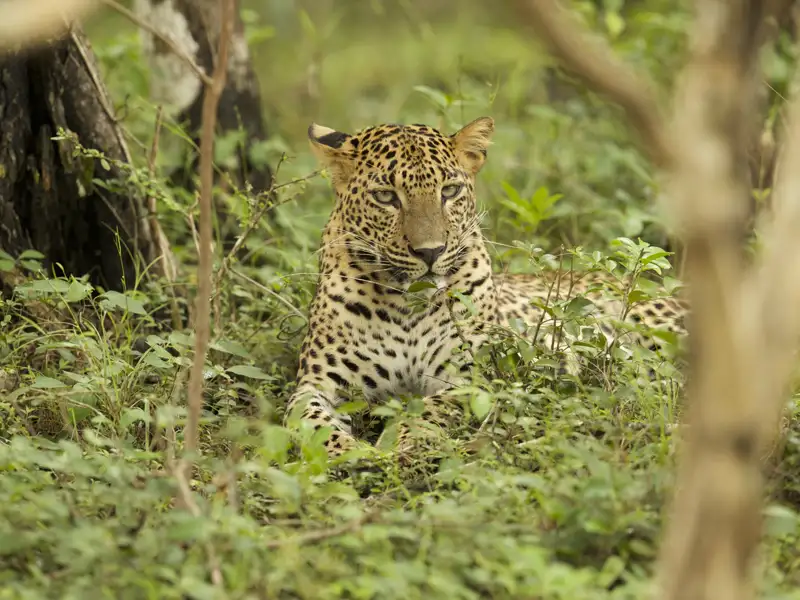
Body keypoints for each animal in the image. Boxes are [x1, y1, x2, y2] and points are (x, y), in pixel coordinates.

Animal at [282, 116, 688, 460]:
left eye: (449, 191)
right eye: (385, 197)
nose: (431, 252)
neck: (407, 305)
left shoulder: (474, 374)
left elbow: (431, 407)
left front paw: (401, 439)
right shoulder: (318, 382)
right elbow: (306, 419)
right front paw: (345, 451)